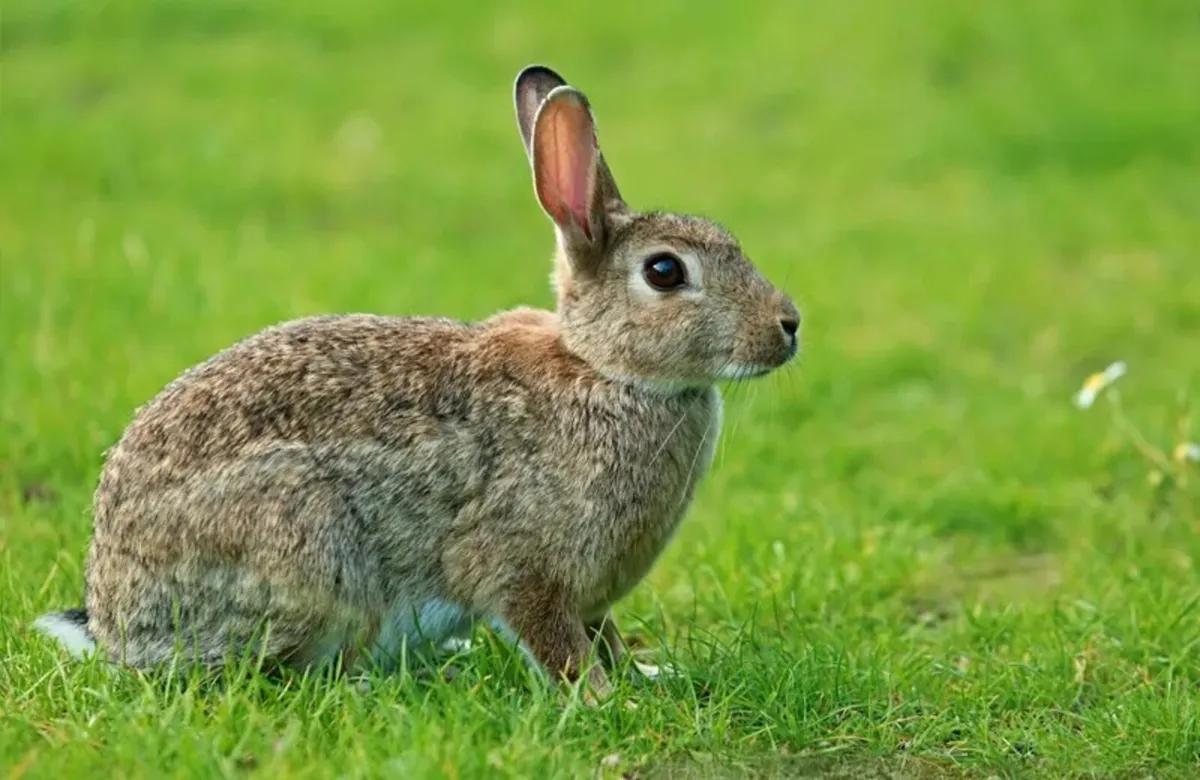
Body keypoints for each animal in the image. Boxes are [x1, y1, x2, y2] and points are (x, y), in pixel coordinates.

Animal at [33, 64, 801, 701]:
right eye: (665, 272)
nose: (789, 325)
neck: (602, 369)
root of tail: (117, 621)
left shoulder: (592, 596)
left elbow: (603, 635)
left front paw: (646, 675)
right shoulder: (522, 567)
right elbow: (555, 642)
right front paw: (605, 701)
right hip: (306, 553)